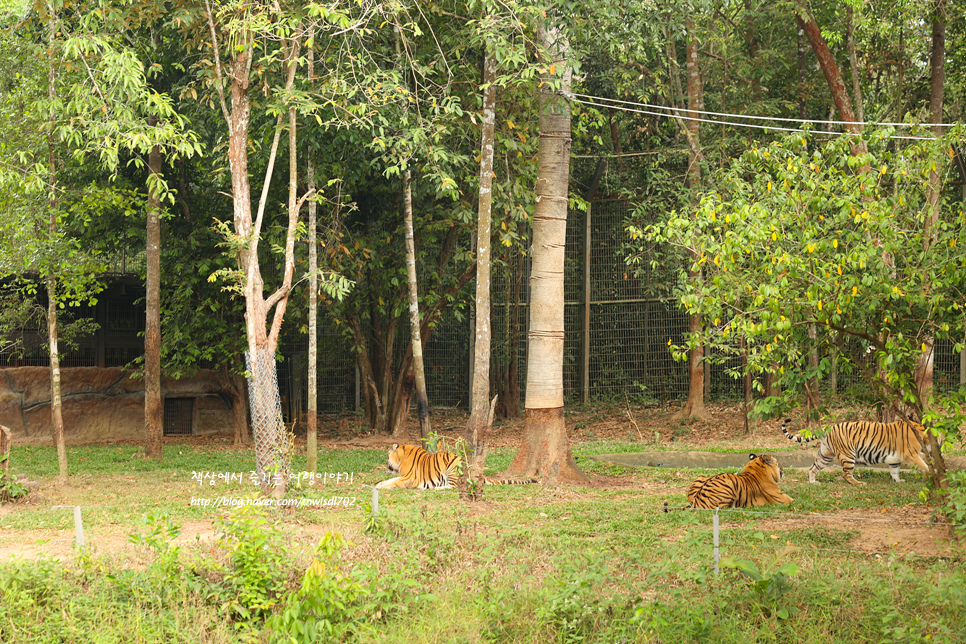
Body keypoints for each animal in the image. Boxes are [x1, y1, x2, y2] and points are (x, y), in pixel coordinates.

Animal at [376, 446, 540, 490]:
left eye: (387, 457)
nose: (385, 464)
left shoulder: (409, 479)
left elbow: (393, 481)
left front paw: (379, 487)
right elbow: (390, 480)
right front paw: (378, 483)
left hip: (452, 469)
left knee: (454, 486)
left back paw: (435, 488)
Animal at [664, 450, 796, 510]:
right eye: (778, 462)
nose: (783, 469)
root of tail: (695, 502)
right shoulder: (781, 499)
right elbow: (792, 499)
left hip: (701, 476)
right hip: (729, 485)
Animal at [784, 418, 932, 484]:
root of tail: (828, 428)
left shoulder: (894, 460)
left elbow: (895, 472)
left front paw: (899, 481)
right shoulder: (911, 454)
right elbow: (924, 465)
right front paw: (929, 476)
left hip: (826, 455)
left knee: (812, 468)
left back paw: (813, 482)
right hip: (848, 455)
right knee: (846, 474)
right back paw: (859, 483)